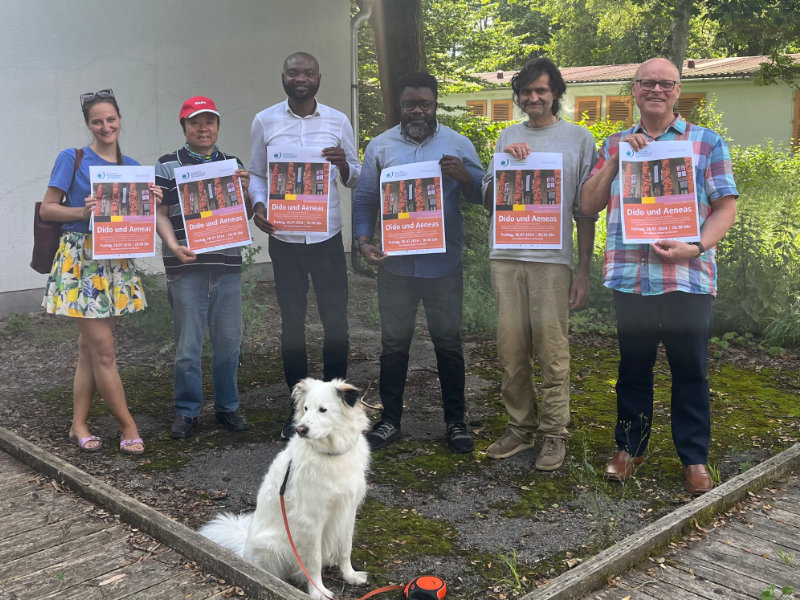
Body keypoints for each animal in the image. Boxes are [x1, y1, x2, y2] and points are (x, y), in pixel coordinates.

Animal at [203, 378, 372, 596]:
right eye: (306, 408)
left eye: (323, 409)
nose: (300, 429)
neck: (330, 455)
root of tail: (244, 548)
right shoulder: (311, 521)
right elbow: (313, 561)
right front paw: (318, 591)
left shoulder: (348, 511)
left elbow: (345, 548)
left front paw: (350, 576)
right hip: (272, 546)